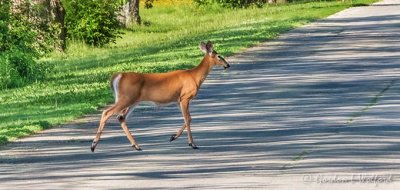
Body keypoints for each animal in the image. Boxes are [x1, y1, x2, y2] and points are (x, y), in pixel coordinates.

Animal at [89, 40, 230, 152]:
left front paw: (173, 136)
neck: (194, 76)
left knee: (121, 117)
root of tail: (117, 76)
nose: (228, 65)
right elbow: (188, 118)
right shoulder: (184, 97)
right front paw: (192, 144)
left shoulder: (178, 100)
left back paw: (136, 146)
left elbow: (188, 118)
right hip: (126, 98)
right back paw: (93, 145)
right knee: (107, 112)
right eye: (219, 56)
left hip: (132, 100)